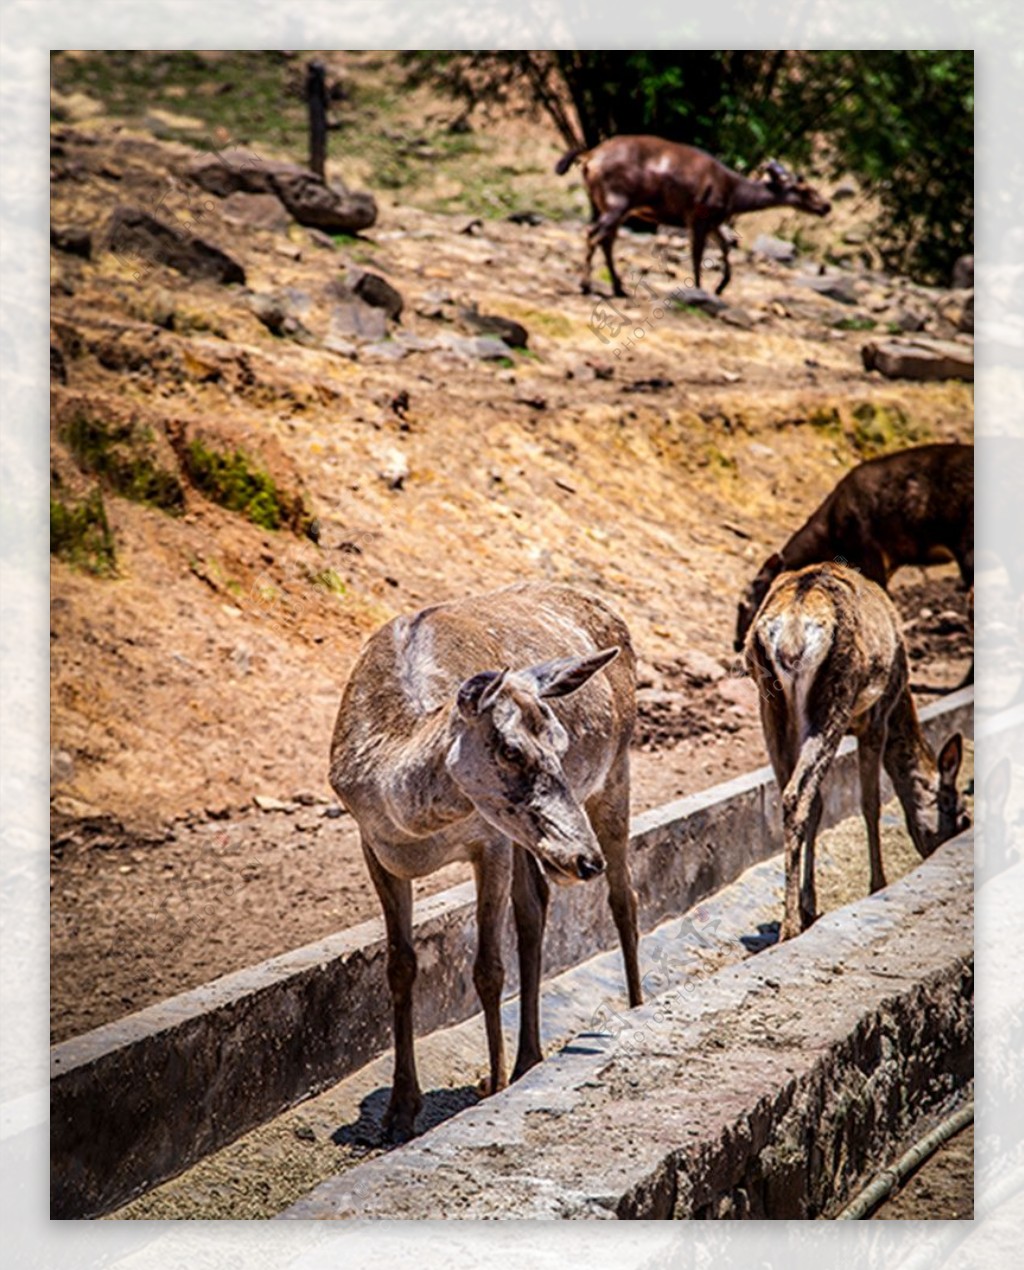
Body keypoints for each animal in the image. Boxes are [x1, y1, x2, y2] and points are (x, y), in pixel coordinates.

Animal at [330, 579, 640, 1143]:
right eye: (511, 750)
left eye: (561, 742)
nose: (584, 860)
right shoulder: (373, 846)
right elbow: (399, 966)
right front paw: (399, 1112)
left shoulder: (488, 841)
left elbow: (488, 968)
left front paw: (492, 1088)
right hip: (530, 839)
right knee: (536, 905)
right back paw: (529, 1059)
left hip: (616, 770)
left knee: (624, 896)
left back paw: (635, 1009)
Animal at [553, 134, 833, 299]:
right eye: (806, 190)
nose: (826, 206)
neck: (732, 194)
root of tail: (589, 158)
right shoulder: (698, 215)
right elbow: (697, 255)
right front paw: (699, 289)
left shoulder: (713, 221)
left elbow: (725, 248)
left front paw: (719, 286)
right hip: (617, 202)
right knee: (594, 234)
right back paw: (586, 285)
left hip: (610, 205)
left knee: (605, 239)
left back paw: (618, 287)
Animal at [747, 561, 970, 939]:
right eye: (960, 814)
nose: (939, 848)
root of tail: (791, 627)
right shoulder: (877, 717)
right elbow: (870, 802)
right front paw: (877, 884)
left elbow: (821, 807)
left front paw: (810, 902)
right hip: (836, 694)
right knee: (798, 794)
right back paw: (789, 927)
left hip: (770, 701)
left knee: (793, 794)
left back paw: (794, 916)